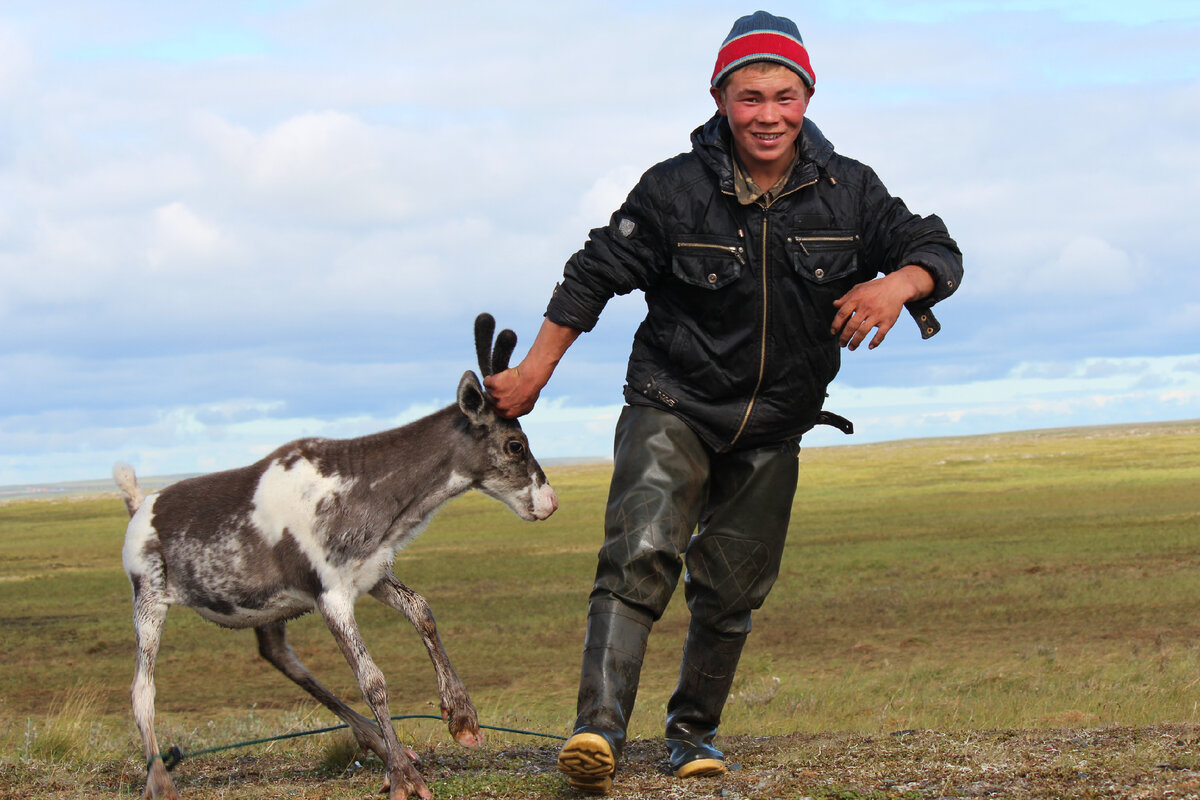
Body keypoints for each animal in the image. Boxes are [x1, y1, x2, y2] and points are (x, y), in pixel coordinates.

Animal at [114, 319, 554, 800]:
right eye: (515, 445)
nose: (549, 502)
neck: (366, 491)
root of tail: (138, 506)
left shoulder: (372, 573)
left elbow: (422, 610)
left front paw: (461, 718)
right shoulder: (331, 596)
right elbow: (372, 680)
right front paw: (405, 777)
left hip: (268, 608)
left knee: (277, 654)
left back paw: (373, 739)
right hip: (149, 599)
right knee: (141, 691)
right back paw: (160, 781)